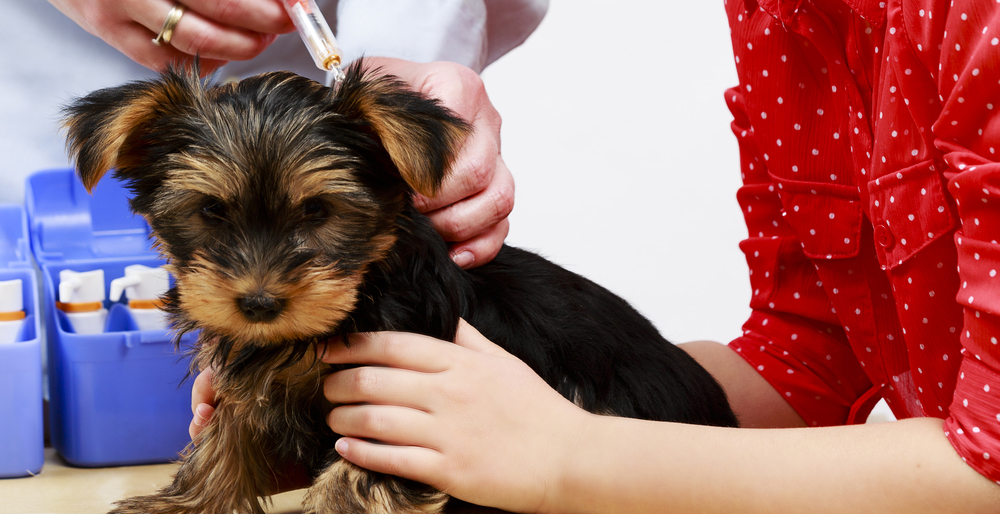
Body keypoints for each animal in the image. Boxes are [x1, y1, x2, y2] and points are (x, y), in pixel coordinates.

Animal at [60, 63, 736, 512]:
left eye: (318, 212)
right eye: (210, 212)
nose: (258, 302)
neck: (358, 297)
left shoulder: (395, 408)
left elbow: (352, 480)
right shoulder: (258, 381)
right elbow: (224, 440)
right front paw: (187, 502)